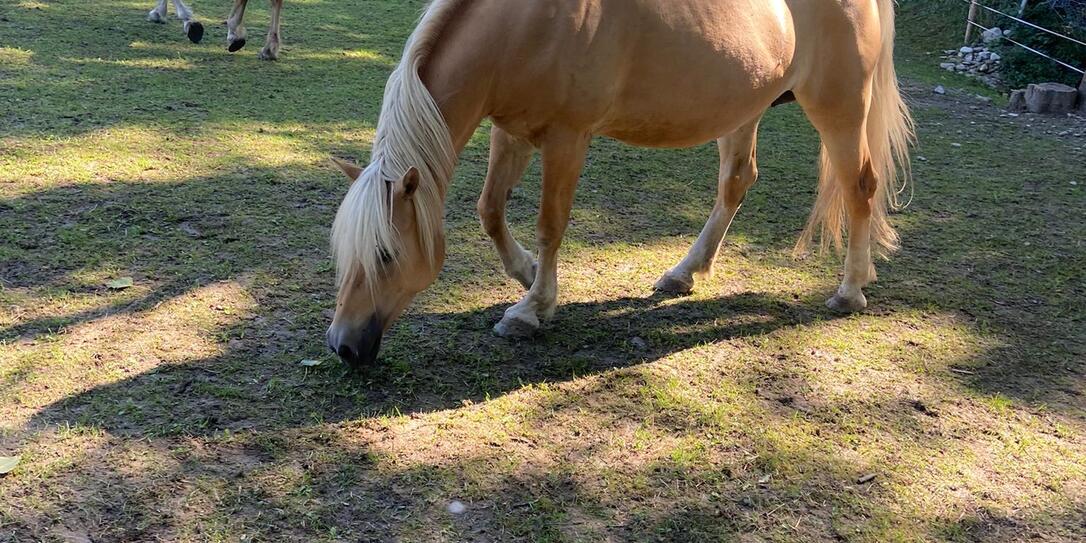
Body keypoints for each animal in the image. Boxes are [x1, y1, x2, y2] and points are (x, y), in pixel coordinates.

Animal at [325, 0, 912, 367]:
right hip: (745, 108)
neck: (525, 24)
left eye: (384, 254)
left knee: (860, 185)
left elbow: (550, 225)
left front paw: (531, 310)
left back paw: (850, 290)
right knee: (736, 183)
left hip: (839, 107)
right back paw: (683, 273)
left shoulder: (568, 137)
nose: (341, 345)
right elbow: (490, 210)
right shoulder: (512, 130)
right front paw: (527, 276)